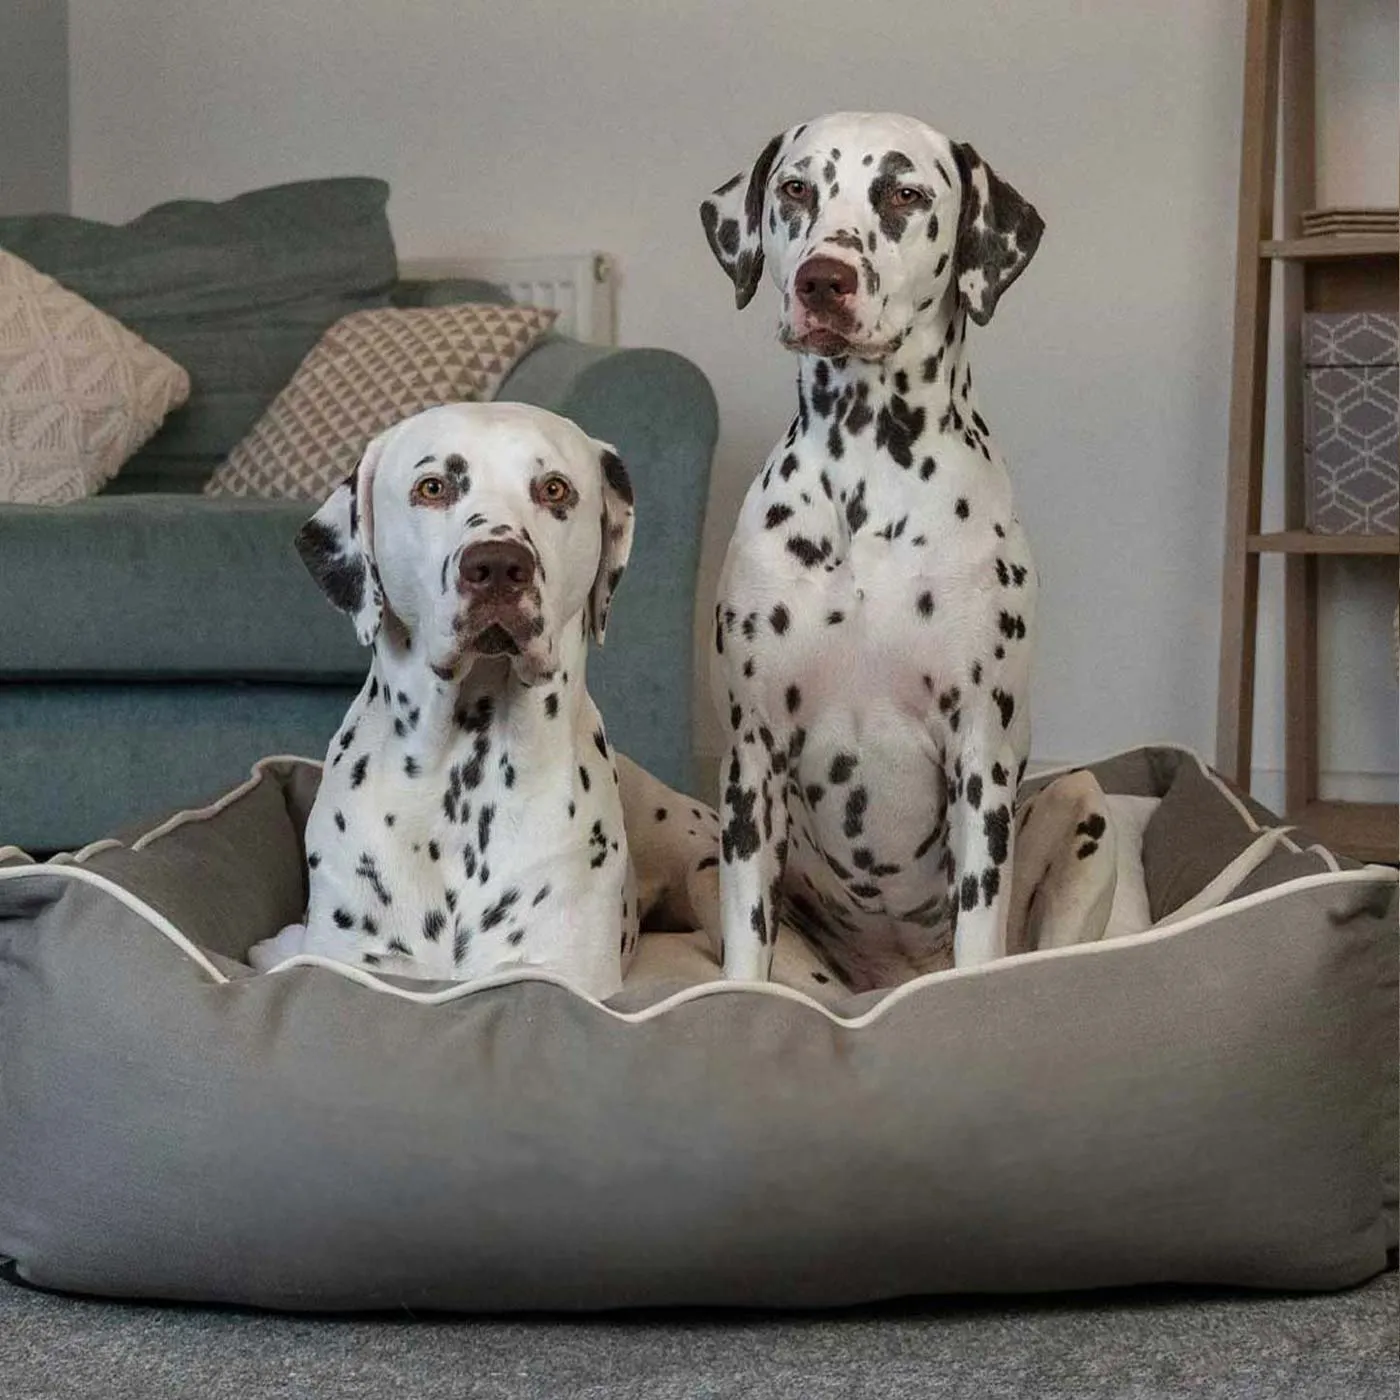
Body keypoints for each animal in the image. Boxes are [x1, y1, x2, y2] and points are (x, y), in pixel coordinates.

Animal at [700, 109, 1114, 991]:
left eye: (904, 194)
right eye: (796, 188)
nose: (823, 280)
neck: (866, 479)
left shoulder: (981, 761)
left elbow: (978, 933)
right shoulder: (750, 763)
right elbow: (745, 957)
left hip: (1081, 806)